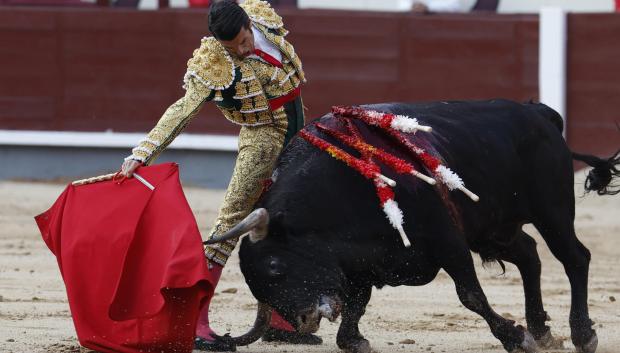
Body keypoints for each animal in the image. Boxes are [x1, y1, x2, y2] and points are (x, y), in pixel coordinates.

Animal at [206, 99, 616, 352]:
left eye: (276, 266)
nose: (304, 321)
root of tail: (539, 113)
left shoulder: (447, 241)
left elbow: (470, 295)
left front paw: (514, 337)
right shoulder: (361, 260)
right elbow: (356, 303)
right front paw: (355, 340)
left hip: (552, 212)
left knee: (574, 258)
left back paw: (582, 334)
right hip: (495, 229)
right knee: (530, 255)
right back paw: (542, 330)